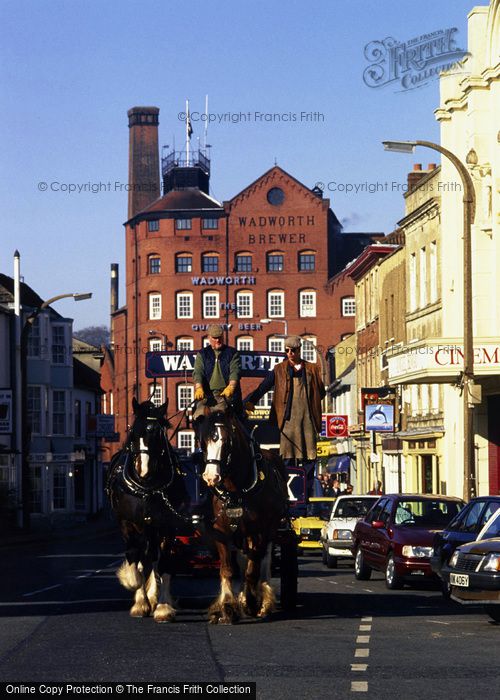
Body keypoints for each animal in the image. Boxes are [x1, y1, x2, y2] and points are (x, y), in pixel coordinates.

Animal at [107, 400, 189, 624]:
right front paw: (137, 595)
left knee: (154, 558)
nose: (144, 470)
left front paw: (162, 606)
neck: (146, 487)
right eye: (134, 432)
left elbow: (163, 563)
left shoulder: (167, 526)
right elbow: (136, 561)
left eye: (159, 433)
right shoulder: (127, 524)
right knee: (144, 558)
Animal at [196, 404, 290, 624]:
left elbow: (252, 569)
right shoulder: (221, 532)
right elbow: (228, 569)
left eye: (225, 441)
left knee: (262, 561)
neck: (237, 490)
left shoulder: (260, 531)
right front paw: (228, 606)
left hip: (270, 530)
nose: (210, 476)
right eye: (203, 442)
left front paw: (250, 602)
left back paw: (262, 601)